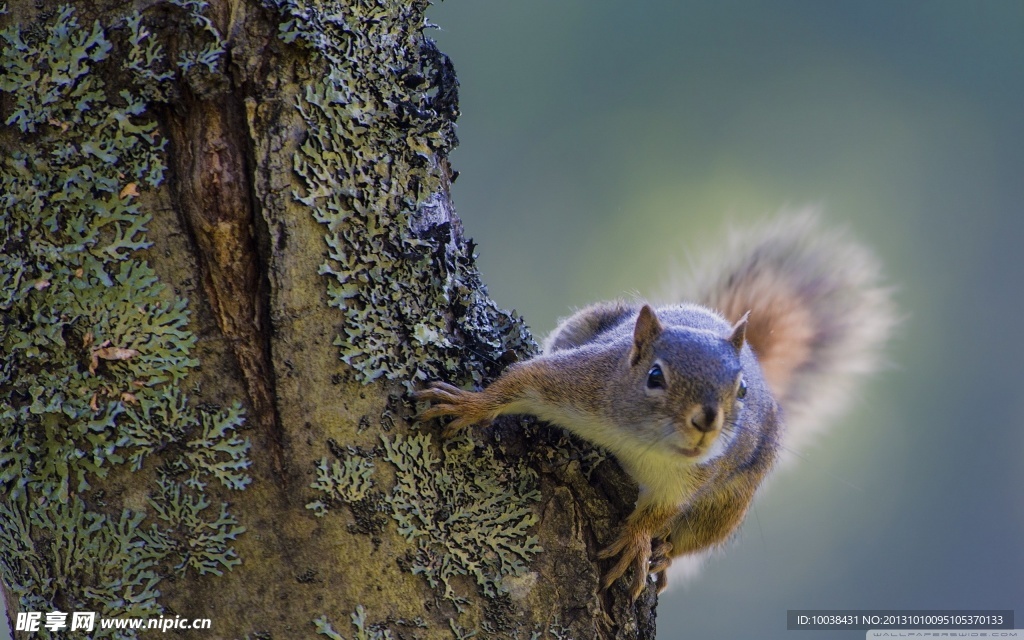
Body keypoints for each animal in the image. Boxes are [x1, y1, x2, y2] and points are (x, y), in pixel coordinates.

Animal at [415, 212, 897, 598]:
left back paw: (664, 556)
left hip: (730, 503)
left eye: (742, 390)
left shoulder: (690, 480)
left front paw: (638, 542)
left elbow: (660, 512)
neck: (642, 443)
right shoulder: (581, 382)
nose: (706, 421)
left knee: (693, 538)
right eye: (654, 377)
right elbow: (523, 380)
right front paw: (470, 404)